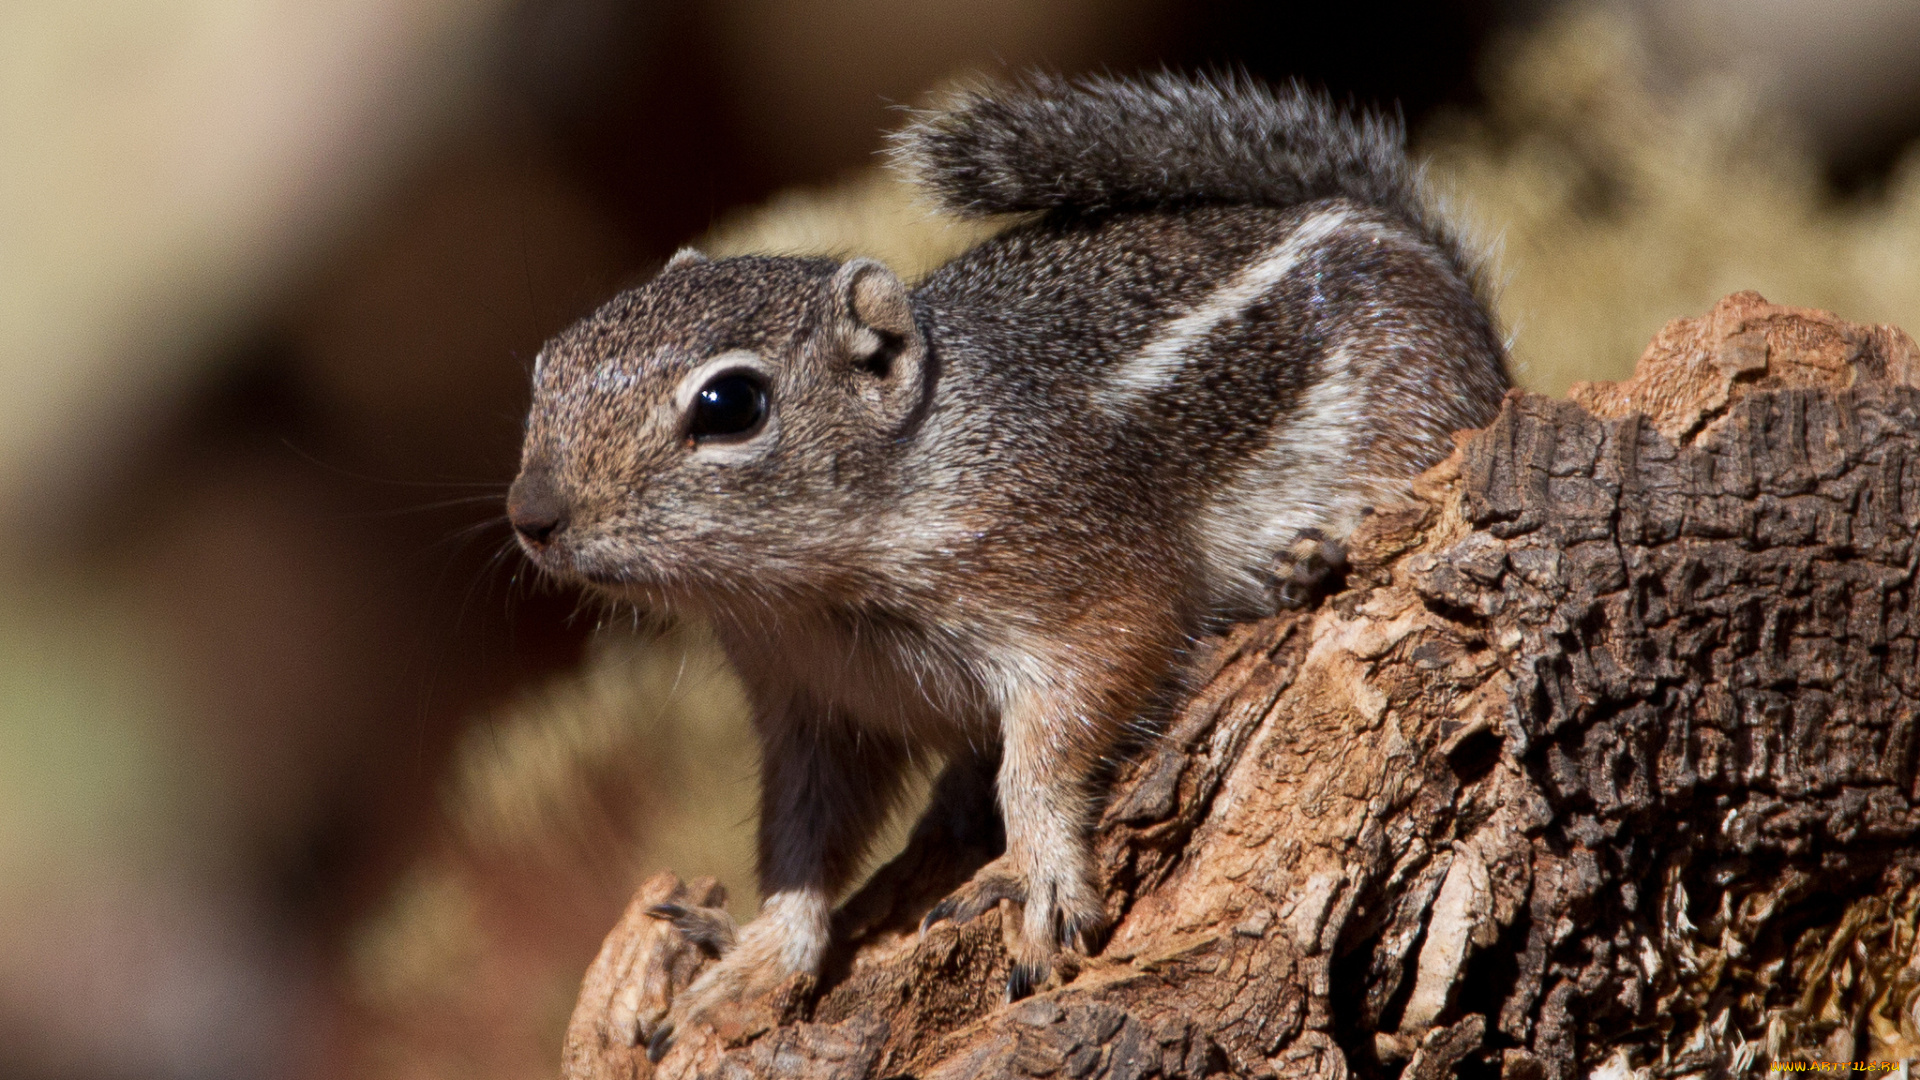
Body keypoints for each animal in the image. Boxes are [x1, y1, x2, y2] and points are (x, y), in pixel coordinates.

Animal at [506, 71, 1512, 1053]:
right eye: (548, 364)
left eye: (730, 404)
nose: (531, 515)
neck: (819, 587)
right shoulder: (814, 707)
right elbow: (801, 838)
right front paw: (754, 962)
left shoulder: (1083, 587)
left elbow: (1060, 737)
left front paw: (1038, 878)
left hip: (1419, 416)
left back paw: (1306, 554)